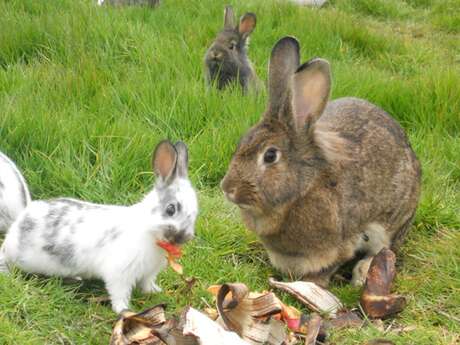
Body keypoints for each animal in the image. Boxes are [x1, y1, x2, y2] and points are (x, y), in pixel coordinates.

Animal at [221, 36, 422, 286]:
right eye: (241, 143)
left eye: (270, 156)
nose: (227, 188)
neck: (303, 188)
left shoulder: (342, 242)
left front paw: (313, 284)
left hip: (393, 222)